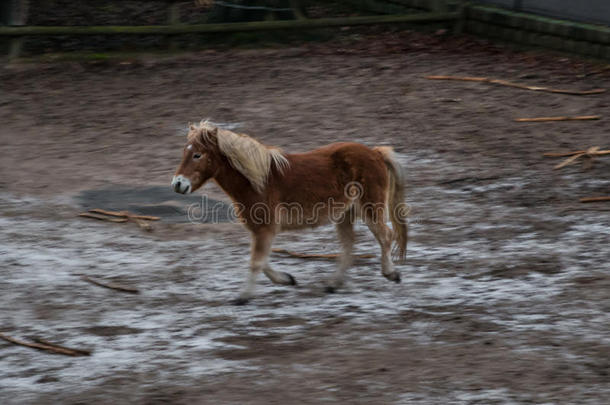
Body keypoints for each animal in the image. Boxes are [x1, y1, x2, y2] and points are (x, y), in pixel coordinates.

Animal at [172, 120, 408, 304]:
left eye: (197, 155)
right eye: (184, 152)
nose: (178, 184)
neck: (259, 182)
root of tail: (376, 153)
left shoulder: (265, 229)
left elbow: (256, 262)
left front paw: (243, 297)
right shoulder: (260, 230)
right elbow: (262, 260)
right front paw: (287, 279)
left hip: (370, 208)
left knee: (385, 236)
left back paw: (391, 273)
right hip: (345, 214)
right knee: (349, 244)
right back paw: (334, 284)